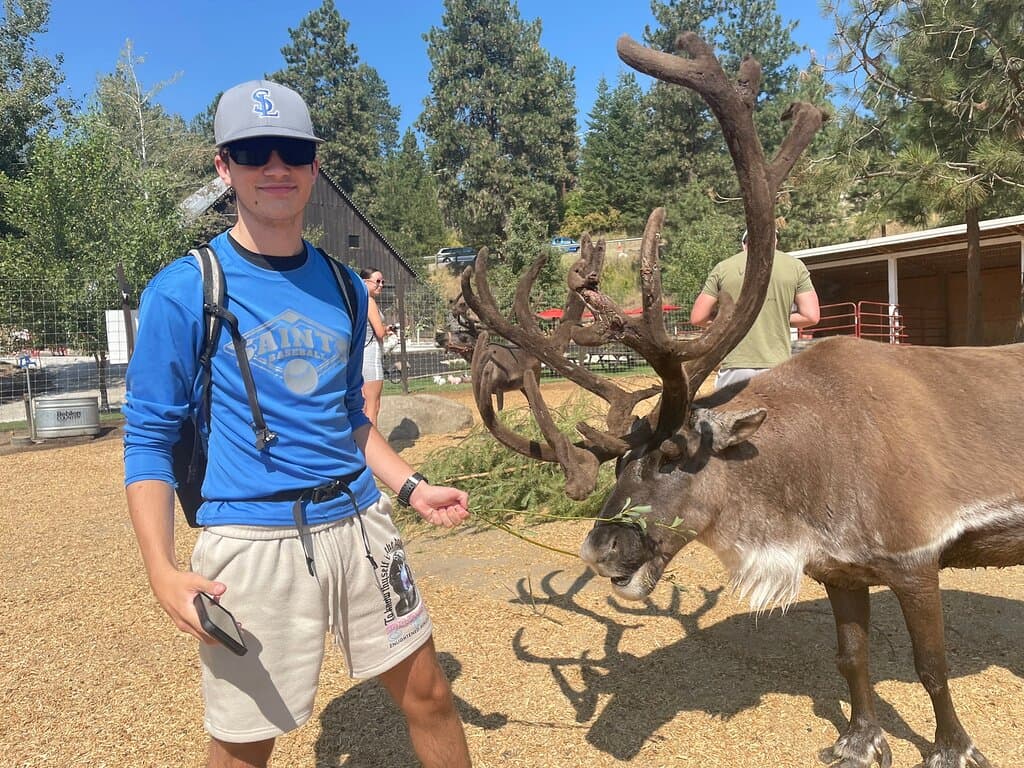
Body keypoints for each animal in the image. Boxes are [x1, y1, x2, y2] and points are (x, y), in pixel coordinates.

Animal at [459, 30, 1024, 768]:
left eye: (674, 455)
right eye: (617, 463)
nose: (599, 551)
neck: (806, 470)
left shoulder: (915, 555)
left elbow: (932, 668)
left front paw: (953, 749)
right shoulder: (841, 569)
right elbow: (851, 658)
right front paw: (858, 741)